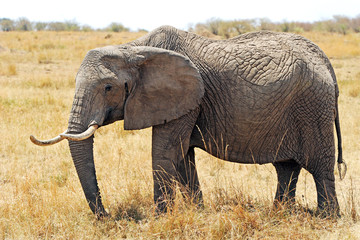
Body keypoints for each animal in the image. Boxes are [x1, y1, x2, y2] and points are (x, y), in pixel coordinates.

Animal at [30, 25, 344, 218]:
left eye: (108, 88)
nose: (107, 215)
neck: (133, 49)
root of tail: (324, 59)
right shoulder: (185, 102)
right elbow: (183, 158)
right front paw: (197, 212)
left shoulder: (184, 97)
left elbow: (165, 152)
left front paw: (158, 219)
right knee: (286, 168)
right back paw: (280, 213)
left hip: (313, 107)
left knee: (319, 168)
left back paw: (327, 218)